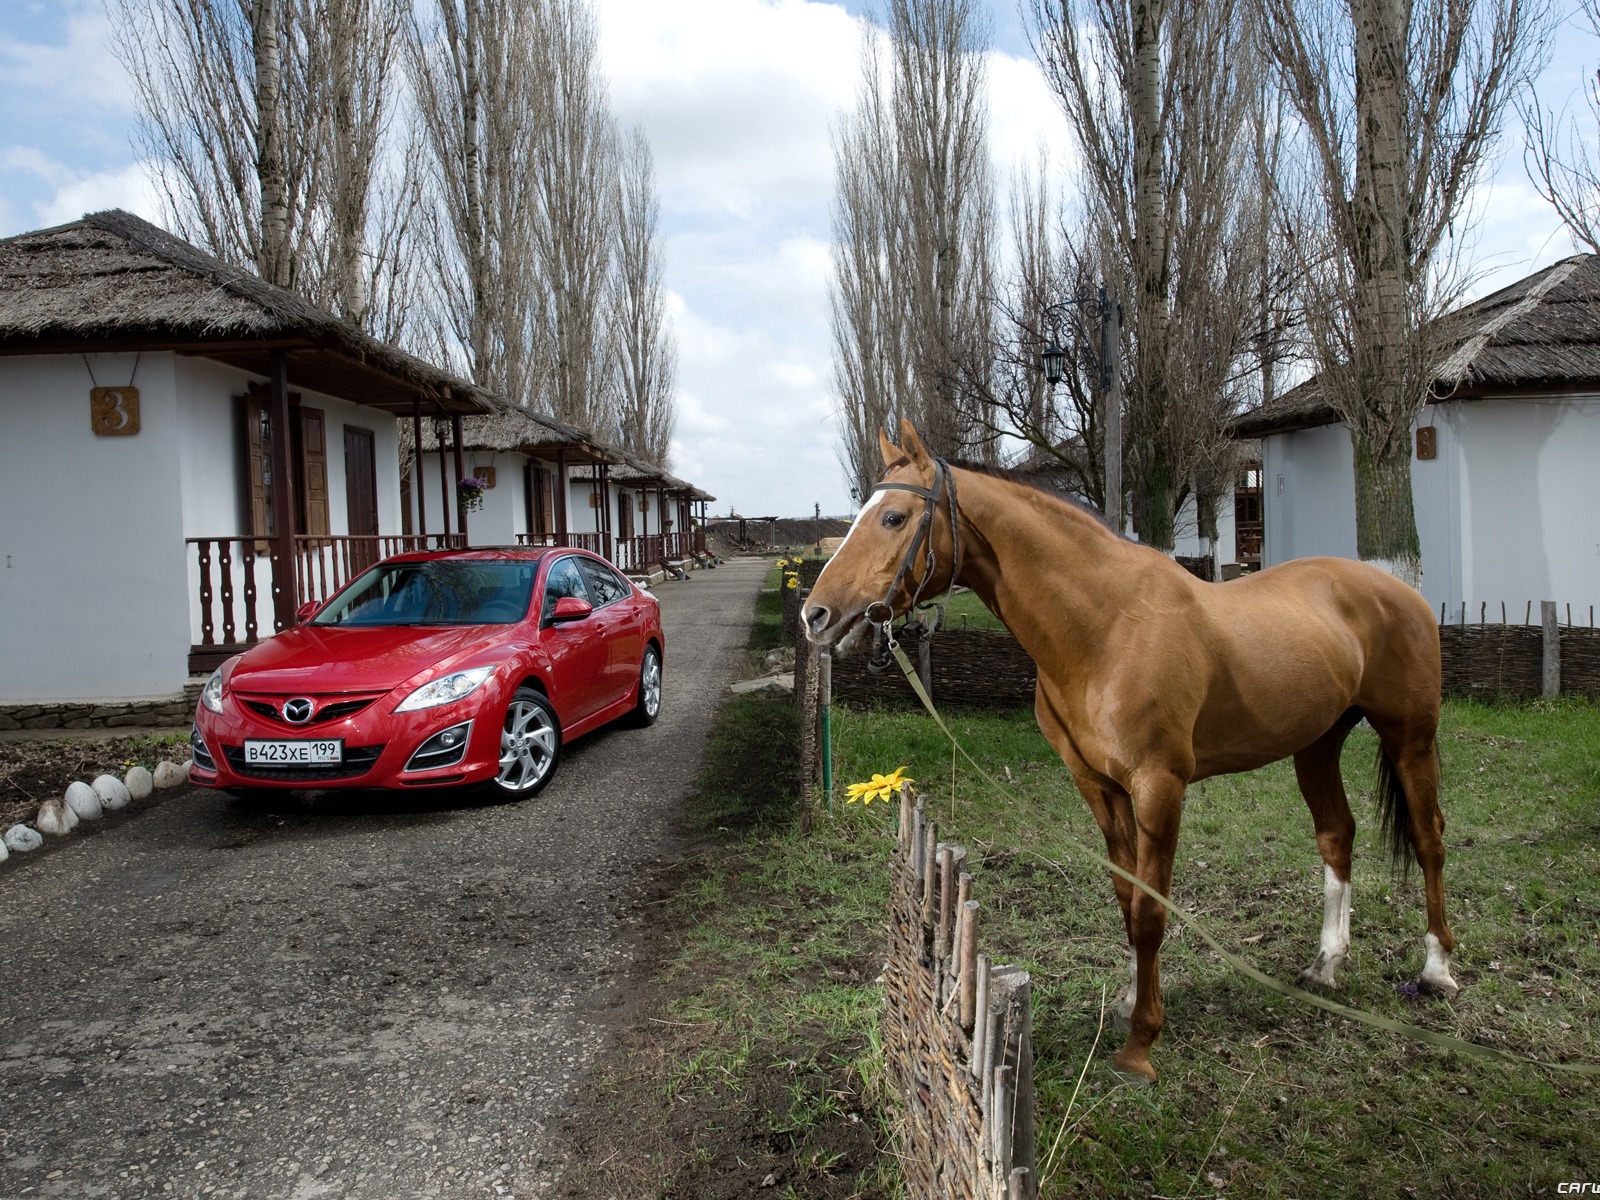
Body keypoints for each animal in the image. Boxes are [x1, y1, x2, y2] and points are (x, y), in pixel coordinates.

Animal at [806, 425, 1459, 1088]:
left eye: (893, 516)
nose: (817, 614)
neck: (1108, 627)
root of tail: (1397, 589)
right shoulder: (1099, 786)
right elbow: (1125, 896)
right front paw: (1126, 1003)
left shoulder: (1159, 786)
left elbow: (1149, 911)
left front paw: (1140, 1043)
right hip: (1317, 744)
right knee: (1336, 835)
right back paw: (1326, 965)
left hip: (1409, 737)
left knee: (1428, 838)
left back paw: (1437, 971)